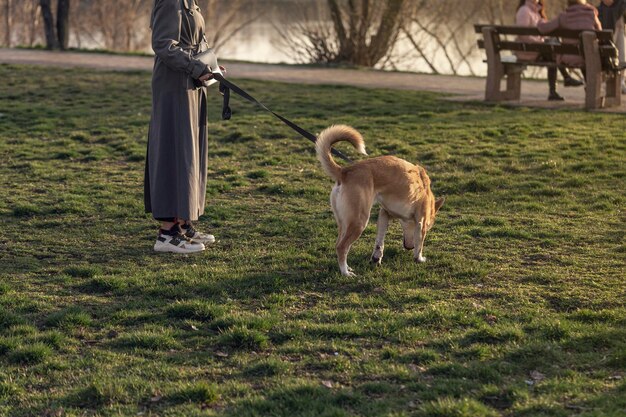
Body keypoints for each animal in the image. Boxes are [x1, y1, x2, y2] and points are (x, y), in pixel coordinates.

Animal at [314, 124, 442, 276]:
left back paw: (347, 267)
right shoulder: (421, 221)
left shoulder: (384, 214)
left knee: (338, 243)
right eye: (428, 227)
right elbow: (420, 243)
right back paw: (346, 273)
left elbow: (380, 241)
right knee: (342, 247)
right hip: (359, 221)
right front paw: (419, 258)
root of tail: (345, 171)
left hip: (344, 222)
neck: (426, 193)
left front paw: (376, 258)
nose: (409, 248)